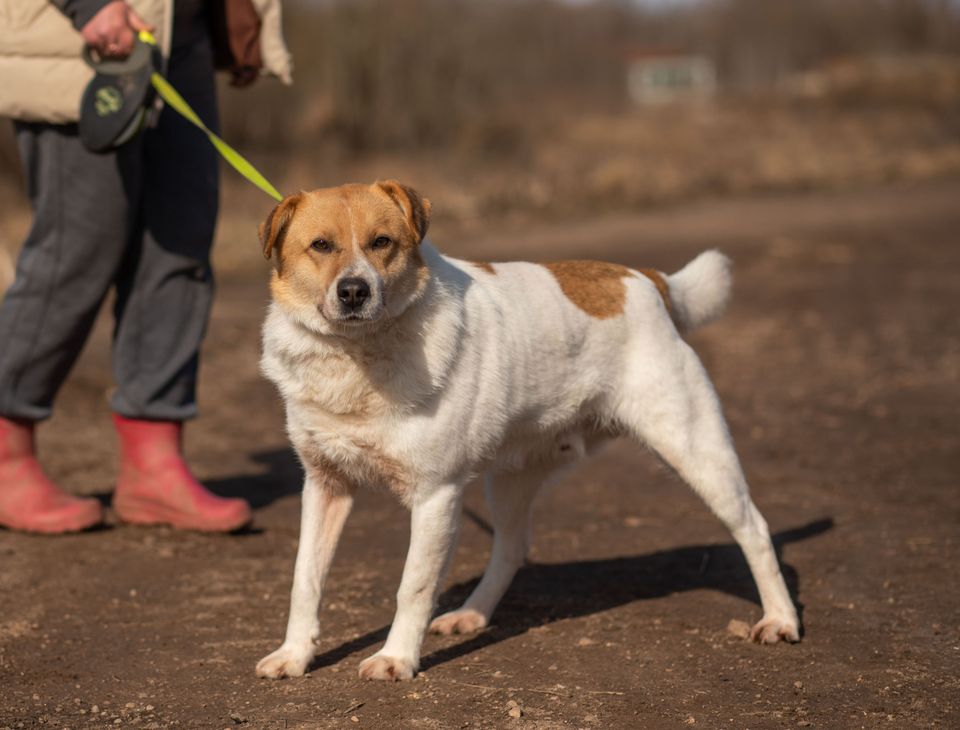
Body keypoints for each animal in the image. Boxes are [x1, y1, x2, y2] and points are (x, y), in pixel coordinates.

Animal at [251, 181, 800, 676]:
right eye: (321, 245)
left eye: (381, 242)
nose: (353, 292)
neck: (357, 355)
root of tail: (644, 279)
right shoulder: (324, 487)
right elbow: (306, 579)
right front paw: (295, 656)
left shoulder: (436, 496)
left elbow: (413, 587)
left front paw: (396, 659)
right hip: (510, 478)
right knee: (512, 547)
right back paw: (472, 615)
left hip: (695, 449)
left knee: (754, 529)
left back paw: (780, 620)